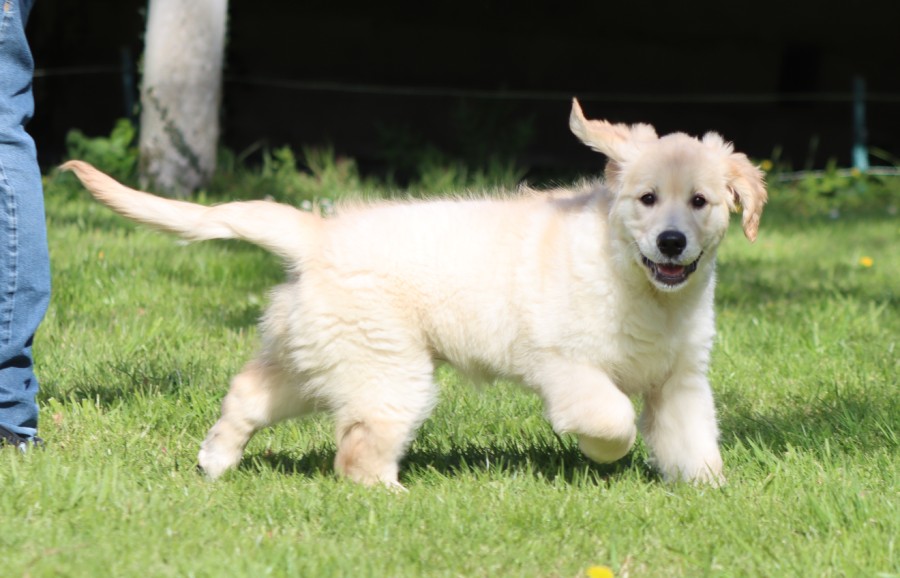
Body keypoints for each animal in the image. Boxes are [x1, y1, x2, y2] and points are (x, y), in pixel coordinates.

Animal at [62, 99, 766, 488]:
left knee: (249, 393)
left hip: (322, 355)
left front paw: (710, 492)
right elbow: (614, 417)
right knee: (355, 453)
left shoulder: (679, 379)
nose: (672, 243)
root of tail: (316, 232)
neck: (639, 283)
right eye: (646, 199)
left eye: (700, 202)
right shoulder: (567, 365)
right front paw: (602, 453)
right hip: (388, 369)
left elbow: (694, 441)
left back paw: (214, 461)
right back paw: (391, 497)